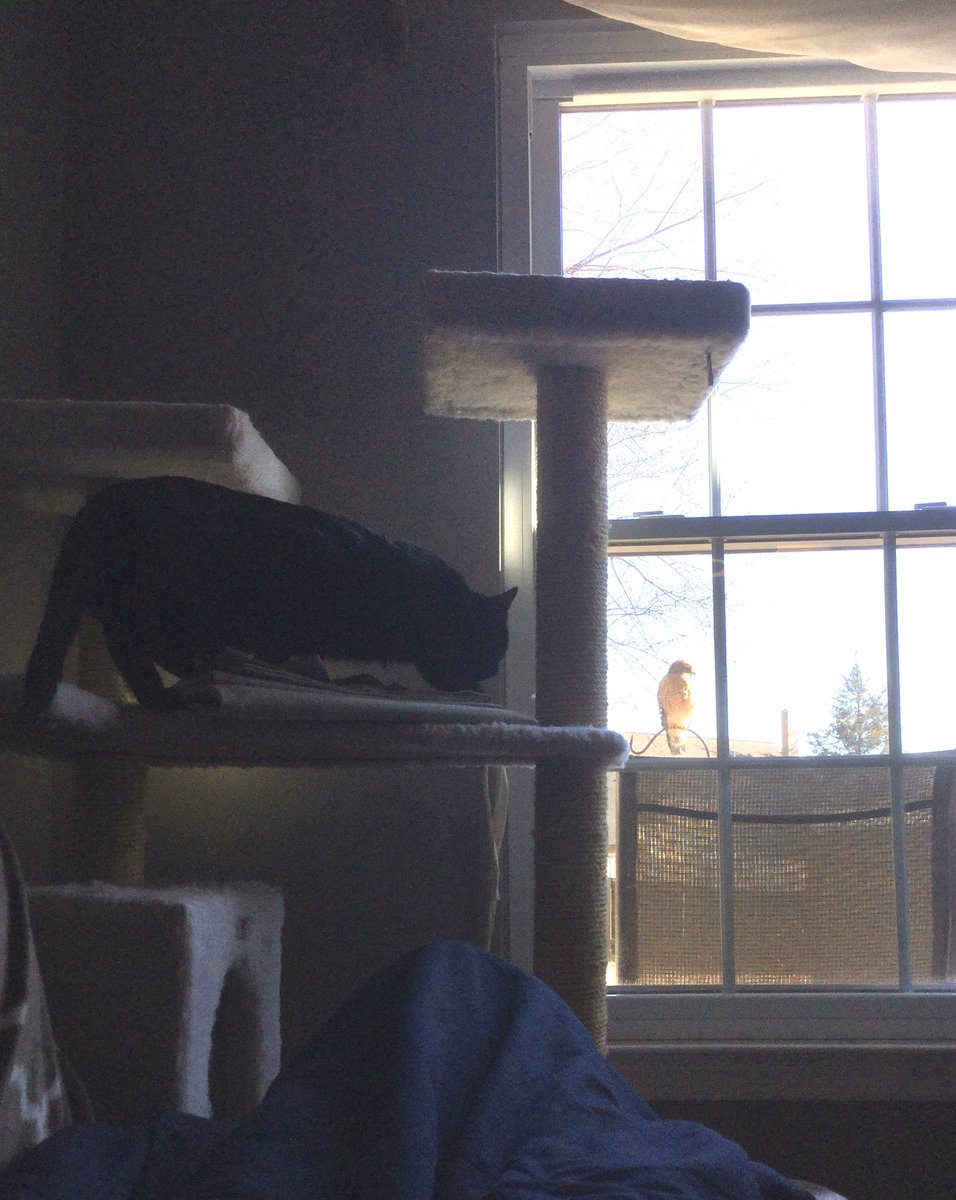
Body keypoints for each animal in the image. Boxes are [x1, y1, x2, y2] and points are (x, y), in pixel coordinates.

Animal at [20, 475, 517, 714]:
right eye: (491, 647)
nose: (493, 670)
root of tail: (99, 502)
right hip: (169, 600)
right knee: (128, 642)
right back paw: (165, 696)